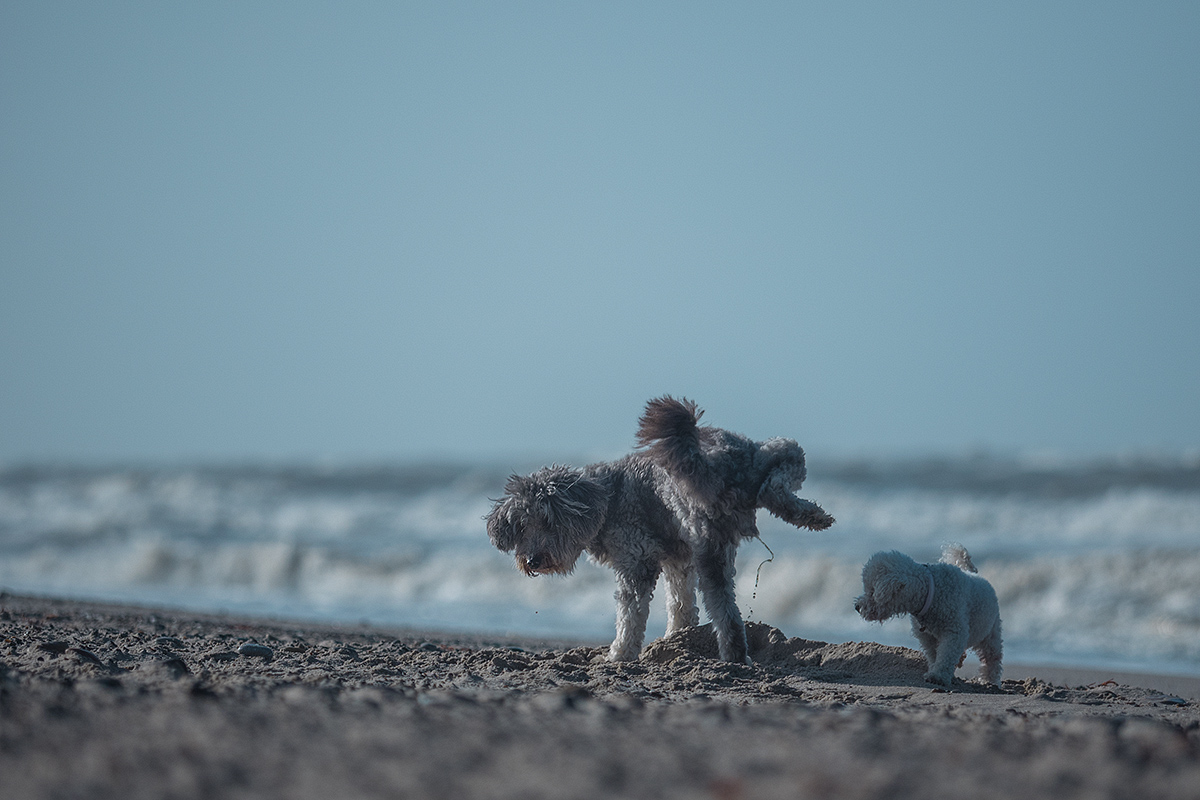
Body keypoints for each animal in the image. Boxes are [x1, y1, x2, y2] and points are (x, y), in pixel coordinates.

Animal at [482, 455, 700, 662]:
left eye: (548, 521)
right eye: (521, 526)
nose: (532, 561)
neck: (611, 500)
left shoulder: (637, 559)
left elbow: (630, 613)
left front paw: (619, 653)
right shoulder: (677, 557)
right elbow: (679, 599)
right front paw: (677, 636)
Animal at [638, 393, 835, 662]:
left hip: (712, 556)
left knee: (725, 612)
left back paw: (736, 654)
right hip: (781, 450)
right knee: (774, 490)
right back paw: (815, 517)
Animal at [854, 544, 1003, 690]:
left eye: (872, 591)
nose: (857, 607)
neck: (929, 591)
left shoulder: (954, 631)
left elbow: (946, 654)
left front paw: (938, 676)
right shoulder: (927, 636)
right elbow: (934, 655)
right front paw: (934, 671)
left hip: (991, 632)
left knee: (992, 658)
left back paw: (990, 680)